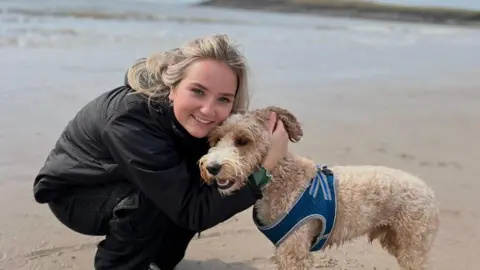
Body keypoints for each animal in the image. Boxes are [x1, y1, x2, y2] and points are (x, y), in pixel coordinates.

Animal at [197, 106, 440, 270]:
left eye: (243, 141)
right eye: (216, 139)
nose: (212, 167)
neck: (282, 180)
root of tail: (429, 191)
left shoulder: (294, 251)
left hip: (412, 244)